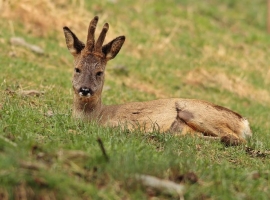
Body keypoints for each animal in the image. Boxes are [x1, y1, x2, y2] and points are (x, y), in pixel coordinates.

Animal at [62, 16, 251, 145]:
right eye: (77, 69)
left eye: (99, 72)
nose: (85, 89)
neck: (96, 117)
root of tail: (244, 123)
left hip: (194, 111)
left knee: (233, 139)